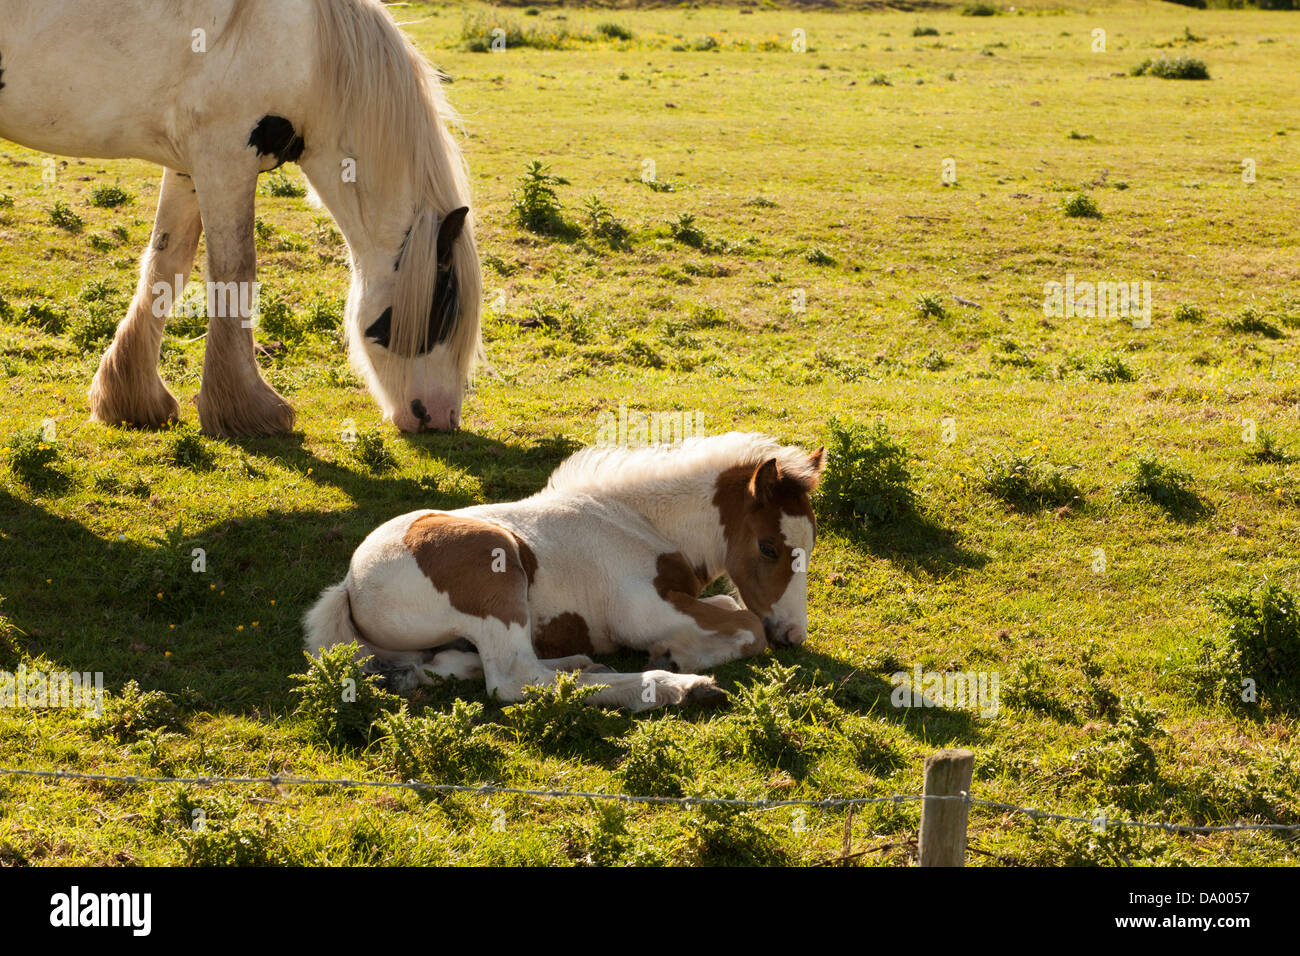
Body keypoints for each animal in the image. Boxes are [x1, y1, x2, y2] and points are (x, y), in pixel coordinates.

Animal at [0, 0, 481, 436]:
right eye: (443, 310)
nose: (441, 418)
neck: (308, 50)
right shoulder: (225, 157)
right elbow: (235, 271)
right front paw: (247, 407)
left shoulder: (189, 164)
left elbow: (168, 263)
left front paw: (131, 395)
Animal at [303, 432, 828, 711]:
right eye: (768, 547)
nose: (792, 634)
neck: (641, 522)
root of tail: (349, 586)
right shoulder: (643, 612)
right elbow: (747, 626)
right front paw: (681, 658)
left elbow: (730, 608)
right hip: (496, 565)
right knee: (515, 680)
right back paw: (678, 688)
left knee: (456, 665)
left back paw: (579, 663)